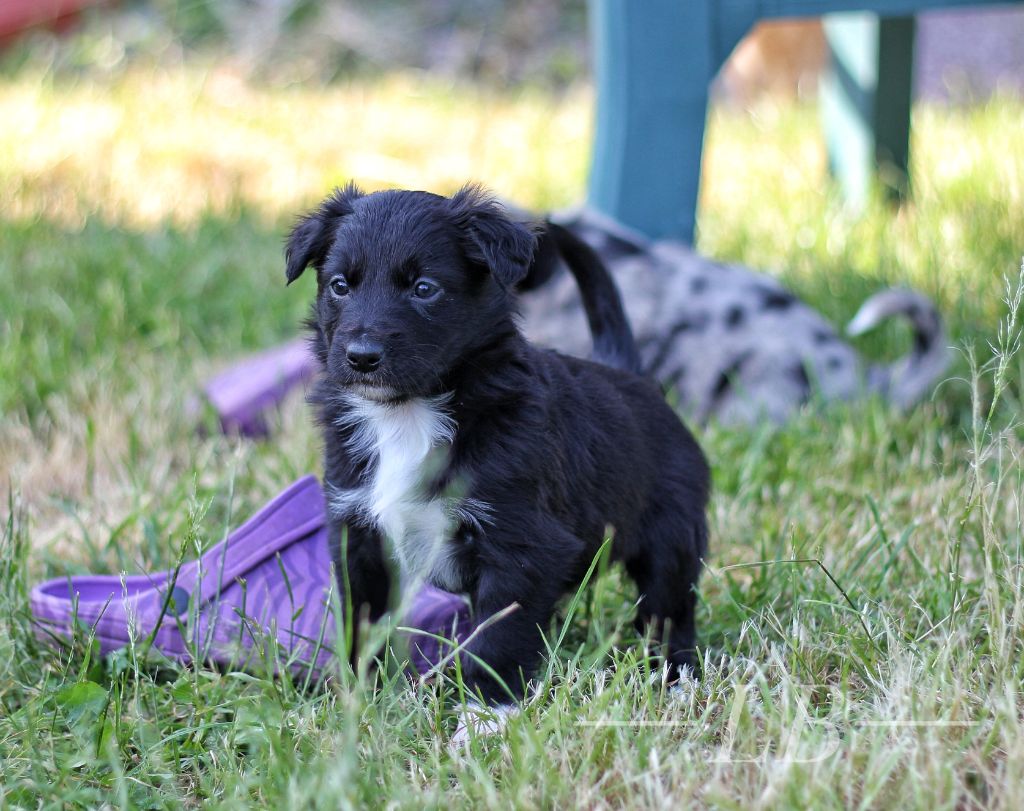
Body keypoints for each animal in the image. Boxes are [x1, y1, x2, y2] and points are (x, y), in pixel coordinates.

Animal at [284, 183, 708, 704]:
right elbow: (361, 622)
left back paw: (677, 678)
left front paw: (487, 711)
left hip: (672, 535)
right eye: (340, 286)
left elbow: (500, 638)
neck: (408, 413)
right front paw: (358, 695)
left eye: (424, 288)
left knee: (669, 612)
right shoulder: (358, 536)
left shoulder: (523, 545)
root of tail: (631, 375)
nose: (361, 357)